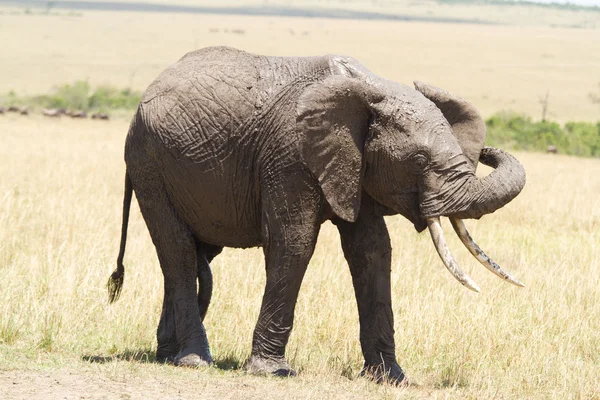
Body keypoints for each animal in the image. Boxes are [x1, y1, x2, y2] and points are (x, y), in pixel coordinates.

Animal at [108, 46, 524, 384]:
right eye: (419, 161)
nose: (488, 151)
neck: (370, 88)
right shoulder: (289, 155)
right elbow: (293, 242)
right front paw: (271, 372)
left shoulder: (355, 167)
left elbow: (372, 251)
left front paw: (391, 378)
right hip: (148, 164)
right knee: (177, 251)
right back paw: (194, 361)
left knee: (196, 254)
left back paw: (167, 356)